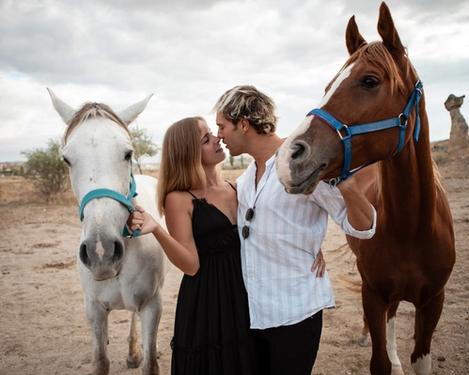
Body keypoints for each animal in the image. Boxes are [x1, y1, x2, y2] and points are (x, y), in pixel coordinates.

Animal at [47, 91, 167, 375]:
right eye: (66, 159)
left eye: (128, 153)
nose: (100, 251)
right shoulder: (94, 309)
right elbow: (100, 361)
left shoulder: (152, 305)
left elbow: (151, 365)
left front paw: (146, 353)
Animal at [274, 2, 454, 375]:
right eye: (328, 85)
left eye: (369, 81)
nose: (288, 156)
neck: (412, 227)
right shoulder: (373, 294)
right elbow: (380, 359)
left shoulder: (433, 302)